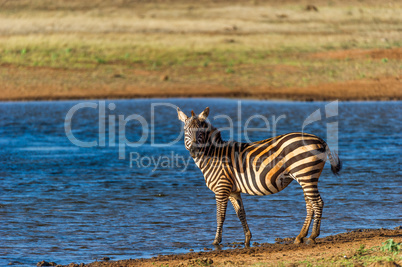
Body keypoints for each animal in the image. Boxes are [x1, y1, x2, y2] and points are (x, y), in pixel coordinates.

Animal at [177, 106, 342, 247]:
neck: (213, 155)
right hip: (306, 177)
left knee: (318, 203)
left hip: (306, 174)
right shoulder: (233, 191)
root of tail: (320, 139)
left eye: (201, 131)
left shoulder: (222, 187)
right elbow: (241, 213)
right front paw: (247, 238)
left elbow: (220, 215)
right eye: (186, 130)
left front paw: (216, 241)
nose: (194, 150)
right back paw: (300, 236)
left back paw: (313, 236)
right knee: (310, 204)